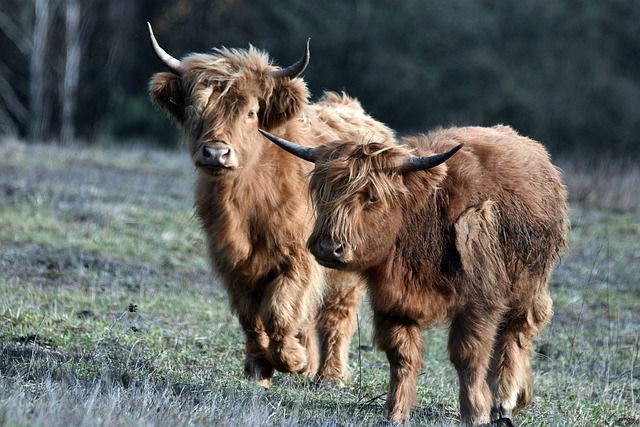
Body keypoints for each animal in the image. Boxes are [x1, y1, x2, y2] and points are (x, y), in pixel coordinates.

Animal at [146, 25, 396, 390]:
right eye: (194, 111)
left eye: (251, 113)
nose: (216, 153)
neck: (245, 204)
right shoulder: (232, 264)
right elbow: (252, 319)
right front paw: (260, 370)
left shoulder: (299, 258)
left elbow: (279, 311)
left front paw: (290, 360)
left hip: (346, 262)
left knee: (336, 315)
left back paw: (330, 376)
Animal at [260, 125, 568, 426]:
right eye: (323, 192)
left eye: (372, 197)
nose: (327, 247)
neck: (422, 221)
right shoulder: (391, 302)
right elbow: (401, 356)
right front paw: (396, 412)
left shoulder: (479, 303)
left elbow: (469, 355)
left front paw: (475, 412)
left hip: (527, 289)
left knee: (514, 337)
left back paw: (504, 403)